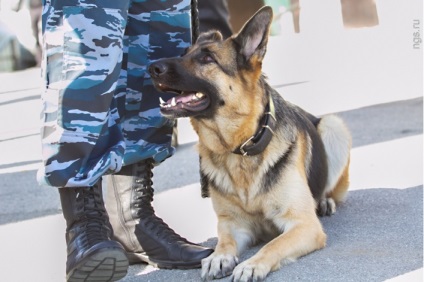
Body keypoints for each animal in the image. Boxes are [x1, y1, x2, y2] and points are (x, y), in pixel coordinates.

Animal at [148, 5, 352, 280]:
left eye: (207, 59)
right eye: (185, 54)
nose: (152, 67)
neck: (240, 149)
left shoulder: (304, 225)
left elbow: (273, 244)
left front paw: (252, 264)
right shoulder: (233, 224)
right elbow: (223, 241)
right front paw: (218, 257)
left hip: (334, 126)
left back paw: (325, 201)